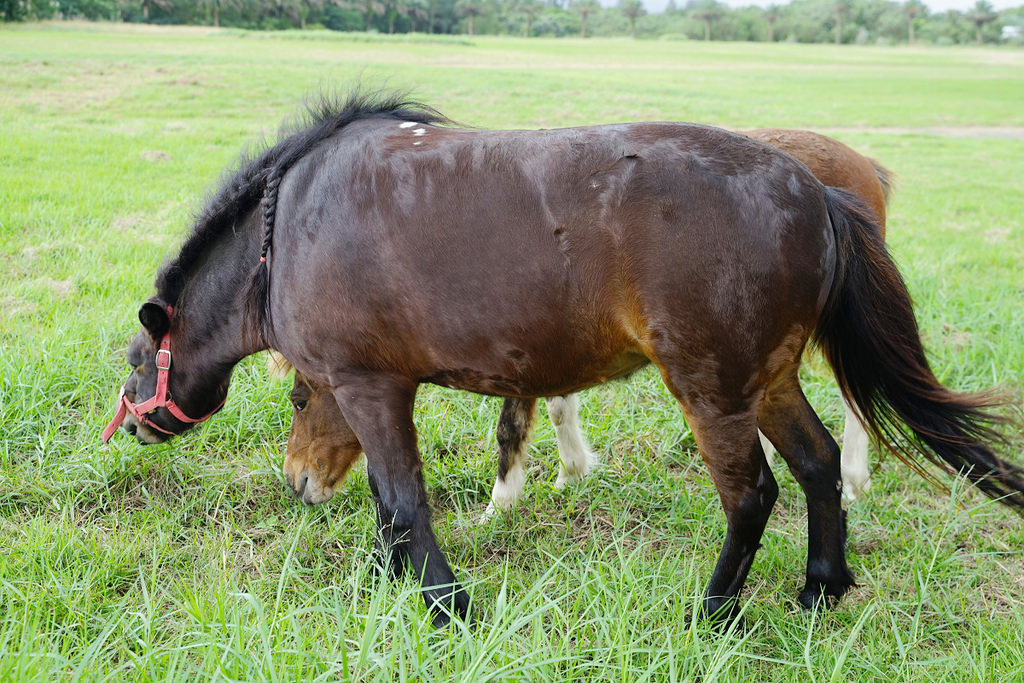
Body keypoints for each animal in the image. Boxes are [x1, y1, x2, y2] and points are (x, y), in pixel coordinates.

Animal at [276, 129, 892, 511]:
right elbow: (551, 403)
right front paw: (570, 470)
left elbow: (513, 423)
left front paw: (501, 502)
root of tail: (860, 165)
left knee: (854, 395)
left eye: (299, 400)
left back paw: (854, 479)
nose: (297, 482)